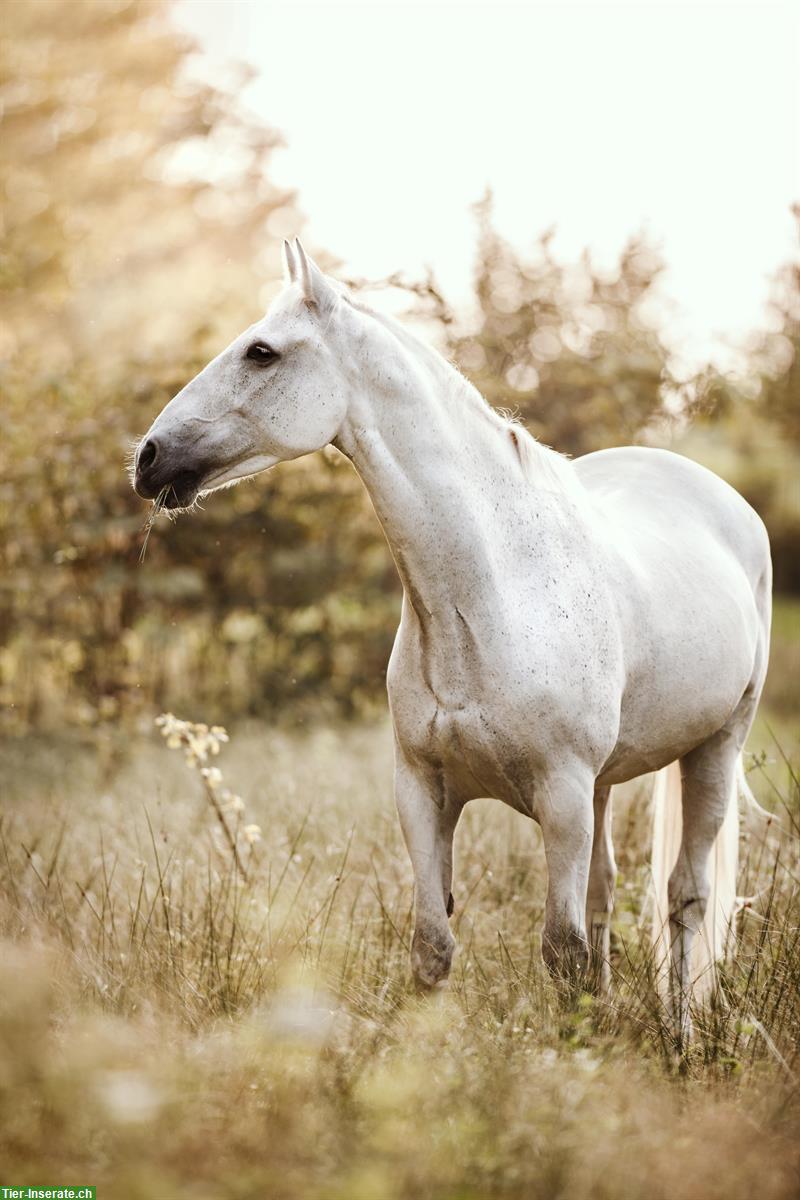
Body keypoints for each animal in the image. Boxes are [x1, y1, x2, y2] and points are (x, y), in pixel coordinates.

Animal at [133, 239, 771, 1039]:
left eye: (261, 351)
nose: (148, 458)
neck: (489, 596)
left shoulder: (561, 794)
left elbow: (559, 949)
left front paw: (573, 1058)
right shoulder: (424, 791)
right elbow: (433, 946)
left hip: (715, 747)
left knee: (685, 897)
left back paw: (681, 1038)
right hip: (602, 785)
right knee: (604, 894)